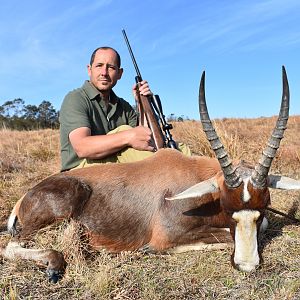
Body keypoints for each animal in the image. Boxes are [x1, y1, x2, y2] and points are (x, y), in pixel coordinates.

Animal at [0, 67, 300, 282]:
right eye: (227, 206)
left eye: (265, 205)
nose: (247, 266)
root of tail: (25, 197)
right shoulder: (166, 237)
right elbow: (223, 236)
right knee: (12, 247)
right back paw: (53, 263)